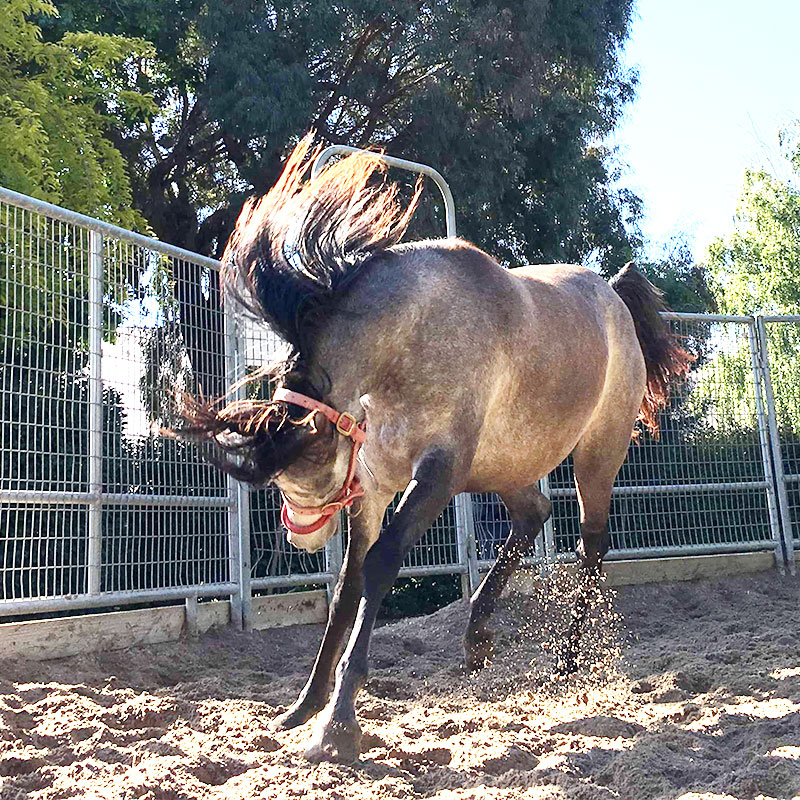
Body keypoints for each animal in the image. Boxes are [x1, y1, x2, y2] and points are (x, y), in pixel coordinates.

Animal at [173, 136, 688, 764]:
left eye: (310, 463)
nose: (301, 536)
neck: (410, 343)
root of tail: (612, 294)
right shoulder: (372, 487)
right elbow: (346, 587)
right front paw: (305, 706)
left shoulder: (439, 475)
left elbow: (380, 565)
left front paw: (338, 724)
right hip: (506, 465)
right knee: (534, 516)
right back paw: (477, 636)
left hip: (597, 454)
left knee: (591, 546)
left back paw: (569, 659)